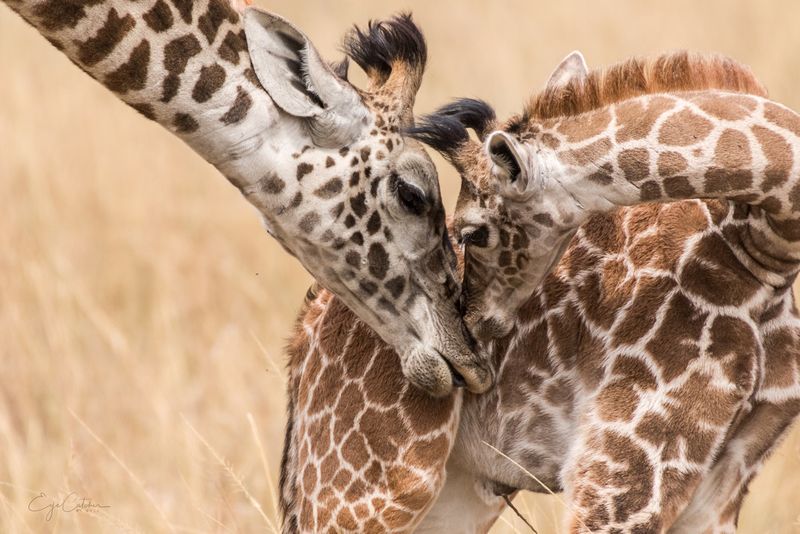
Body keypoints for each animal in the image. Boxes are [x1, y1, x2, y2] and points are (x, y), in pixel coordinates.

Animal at [278, 52, 800, 533]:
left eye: (473, 232)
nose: (471, 328)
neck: (761, 252)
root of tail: (307, 330)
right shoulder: (624, 464)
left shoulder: (724, 479)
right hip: (375, 483)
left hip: (454, 490)